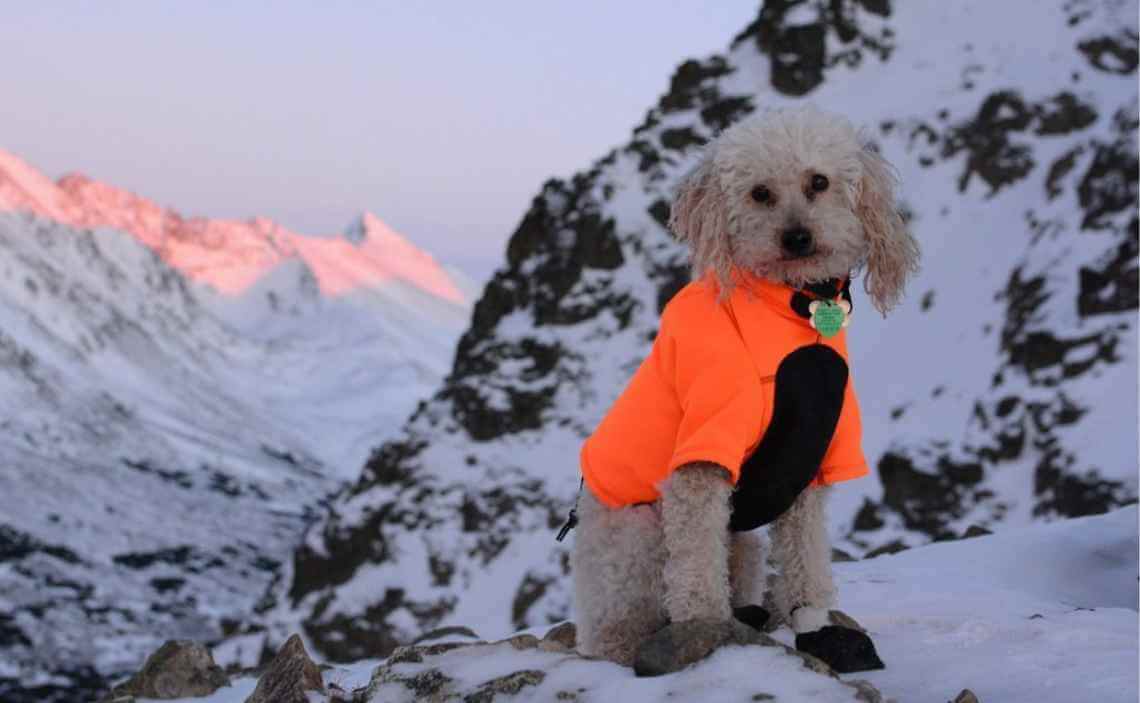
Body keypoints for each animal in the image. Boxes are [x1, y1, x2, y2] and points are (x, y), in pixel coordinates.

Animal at [570, 105, 916, 674]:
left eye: (818, 182)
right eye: (759, 193)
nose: (797, 237)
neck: (791, 310)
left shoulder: (812, 459)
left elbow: (806, 553)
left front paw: (812, 613)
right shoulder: (703, 453)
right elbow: (694, 566)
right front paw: (705, 628)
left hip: (744, 546)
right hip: (634, 537)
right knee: (616, 625)